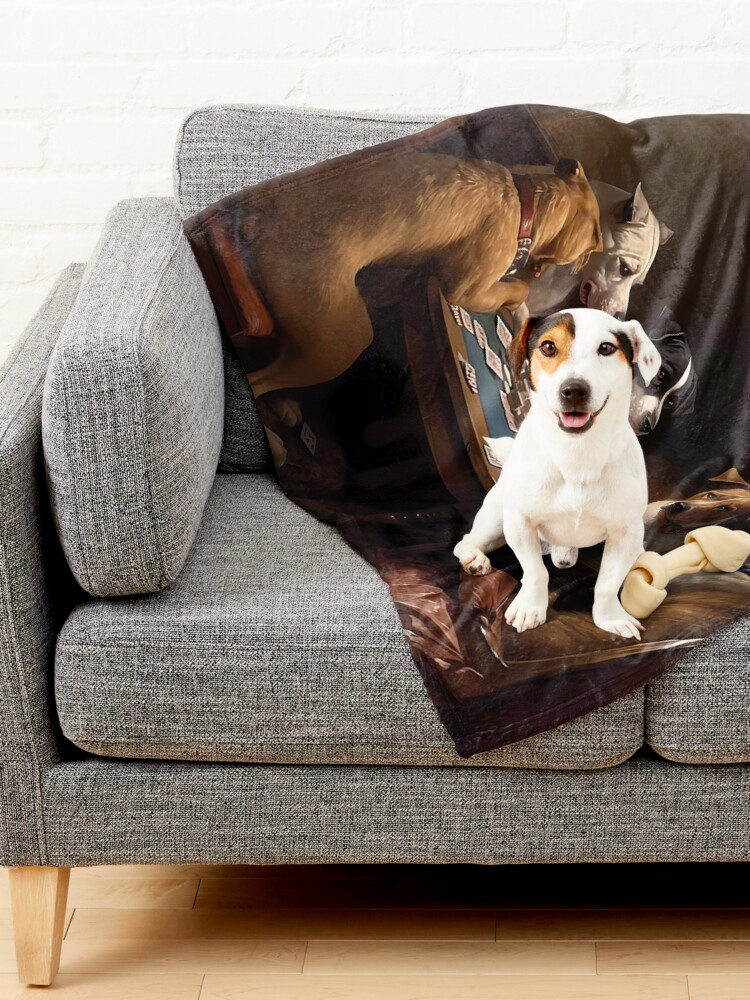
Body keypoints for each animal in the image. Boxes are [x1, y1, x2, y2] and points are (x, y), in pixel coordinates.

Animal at [189, 150, 604, 396]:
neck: (524, 196)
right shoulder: (465, 288)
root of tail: (253, 224)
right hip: (336, 344)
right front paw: (520, 306)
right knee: (268, 380)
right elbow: (515, 288)